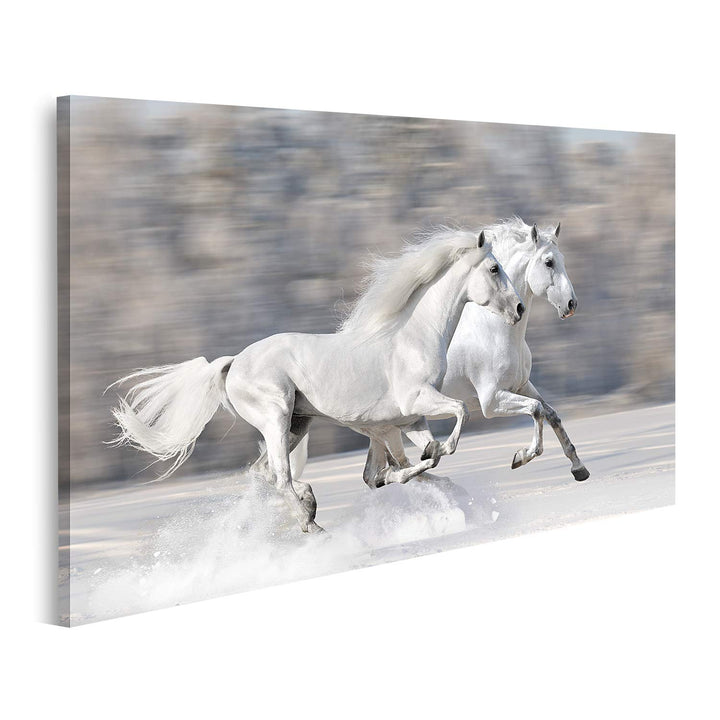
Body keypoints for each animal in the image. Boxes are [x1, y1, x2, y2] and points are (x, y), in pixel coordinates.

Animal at [109, 228, 524, 533]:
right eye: (494, 269)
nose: (519, 308)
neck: (412, 336)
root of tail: (232, 364)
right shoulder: (414, 405)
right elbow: (457, 417)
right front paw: (431, 458)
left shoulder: (408, 421)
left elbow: (416, 462)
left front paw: (434, 469)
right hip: (276, 418)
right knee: (278, 476)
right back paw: (312, 524)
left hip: (297, 424)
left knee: (265, 473)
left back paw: (309, 507)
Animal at [292, 218, 590, 489]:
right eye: (549, 262)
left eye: (561, 259)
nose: (570, 304)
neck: (494, 330)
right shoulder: (492, 401)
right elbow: (536, 411)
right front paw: (521, 456)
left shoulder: (522, 385)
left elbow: (551, 414)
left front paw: (579, 469)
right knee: (385, 470)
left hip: (383, 428)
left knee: (375, 474)